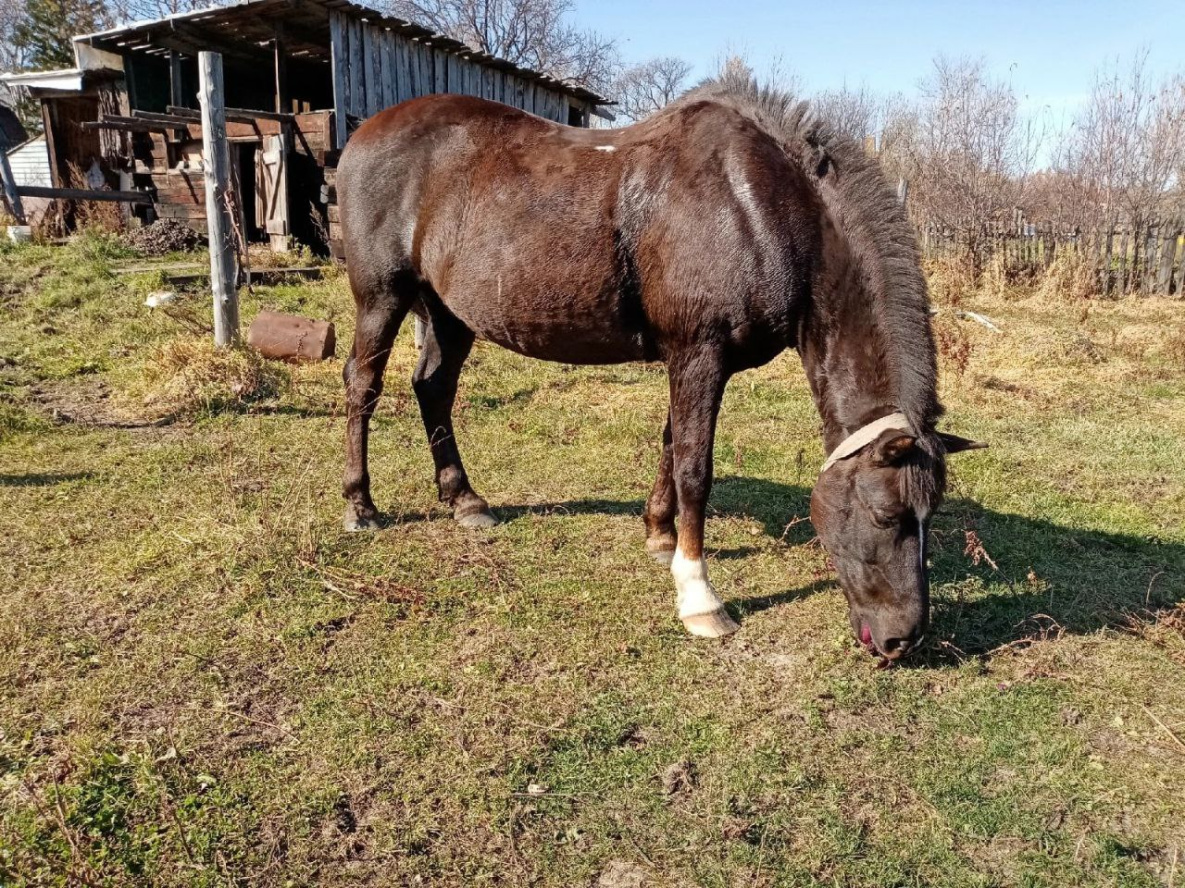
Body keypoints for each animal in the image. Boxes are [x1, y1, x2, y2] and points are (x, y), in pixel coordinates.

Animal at [336, 74, 981, 659]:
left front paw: (659, 534)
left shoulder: (688, 359)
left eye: (931, 513)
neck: (755, 206)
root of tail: (364, 131)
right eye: (886, 514)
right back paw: (361, 505)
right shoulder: (699, 354)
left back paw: (465, 499)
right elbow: (696, 469)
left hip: (448, 311)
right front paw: (699, 598)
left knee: (433, 388)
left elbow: (672, 446)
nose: (903, 639)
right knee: (363, 385)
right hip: (382, 296)